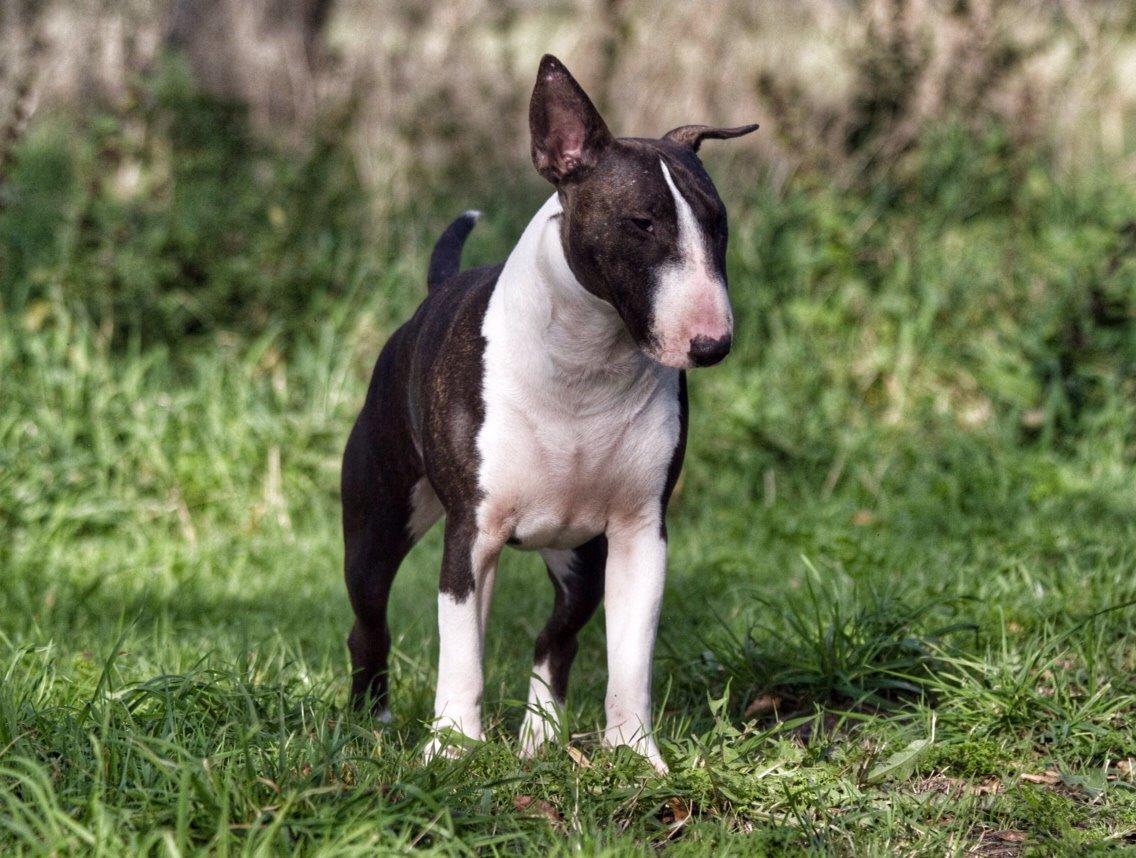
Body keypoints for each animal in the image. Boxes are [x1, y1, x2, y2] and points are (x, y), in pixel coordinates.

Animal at [340, 51, 758, 772]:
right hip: (376, 525)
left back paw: (538, 738)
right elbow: (461, 655)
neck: (584, 366)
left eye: (718, 221)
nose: (712, 344)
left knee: (553, 637)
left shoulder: (639, 533)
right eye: (642, 222)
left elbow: (628, 658)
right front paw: (450, 749)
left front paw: (636, 755)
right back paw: (374, 721)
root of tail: (435, 291)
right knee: (371, 626)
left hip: (578, 556)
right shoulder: (470, 531)